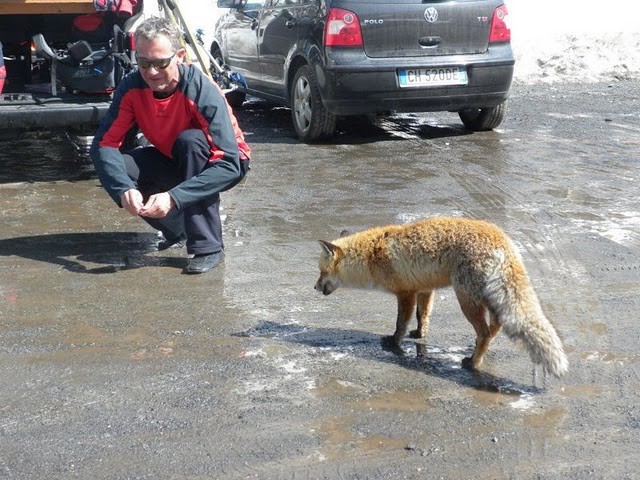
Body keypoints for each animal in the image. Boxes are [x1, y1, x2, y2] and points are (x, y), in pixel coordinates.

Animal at [315, 217, 568, 378]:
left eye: (322, 272)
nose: (315, 287)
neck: (372, 255)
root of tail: (503, 241)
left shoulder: (405, 293)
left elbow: (400, 323)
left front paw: (394, 342)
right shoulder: (424, 289)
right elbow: (423, 316)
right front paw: (419, 335)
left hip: (466, 299)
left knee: (486, 331)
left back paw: (473, 362)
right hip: (486, 297)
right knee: (496, 324)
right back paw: (478, 349)